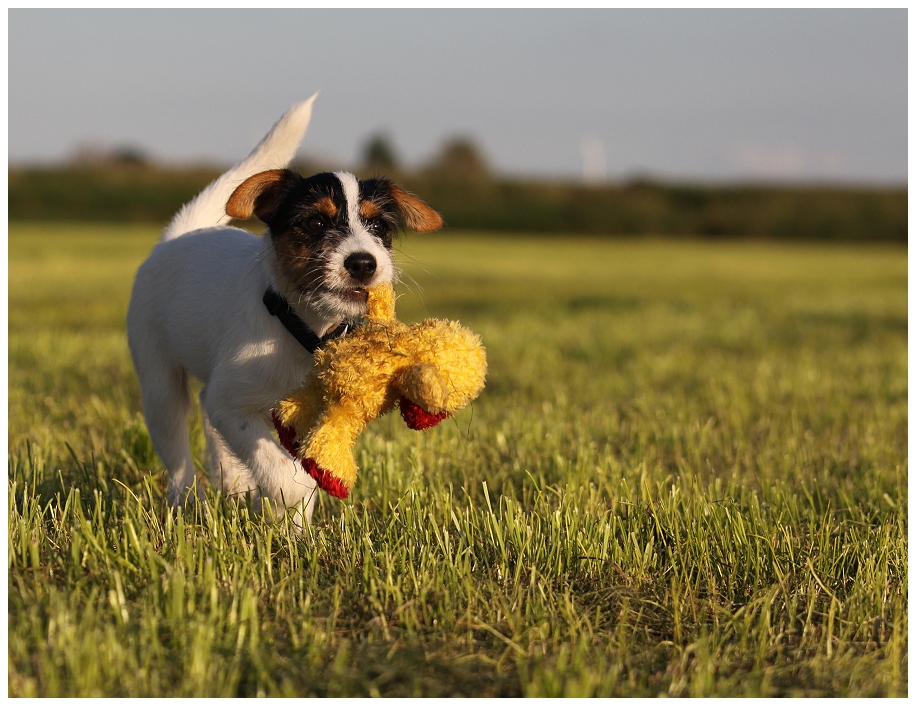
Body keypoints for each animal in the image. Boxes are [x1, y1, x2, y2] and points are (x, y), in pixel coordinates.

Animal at [128, 93, 444, 524]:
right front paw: (286, 502)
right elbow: (283, 472)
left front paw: (296, 529)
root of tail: (177, 236)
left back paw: (231, 481)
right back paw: (188, 502)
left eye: (380, 228)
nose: (364, 263)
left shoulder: (287, 410)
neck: (301, 325)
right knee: (176, 449)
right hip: (159, 380)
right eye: (314, 223)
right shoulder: (233, 405)